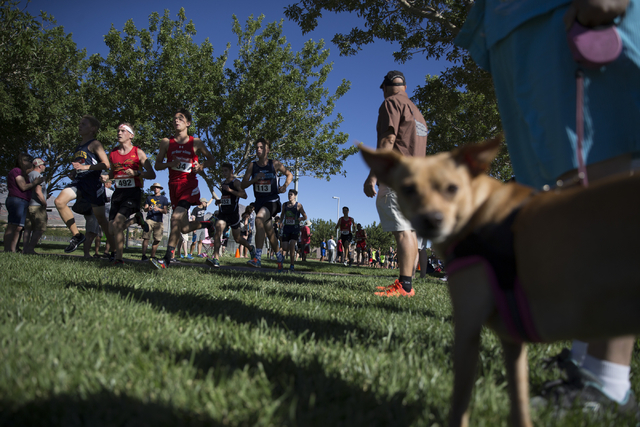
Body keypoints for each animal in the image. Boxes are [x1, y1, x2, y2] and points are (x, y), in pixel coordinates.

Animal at [362, 138, 640, 427]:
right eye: (408, 189)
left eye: (452, 188)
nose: (432, 220)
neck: (480, 210)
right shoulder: (512, 341)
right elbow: (519, 402)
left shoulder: (467, 328)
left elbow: (460, 402)